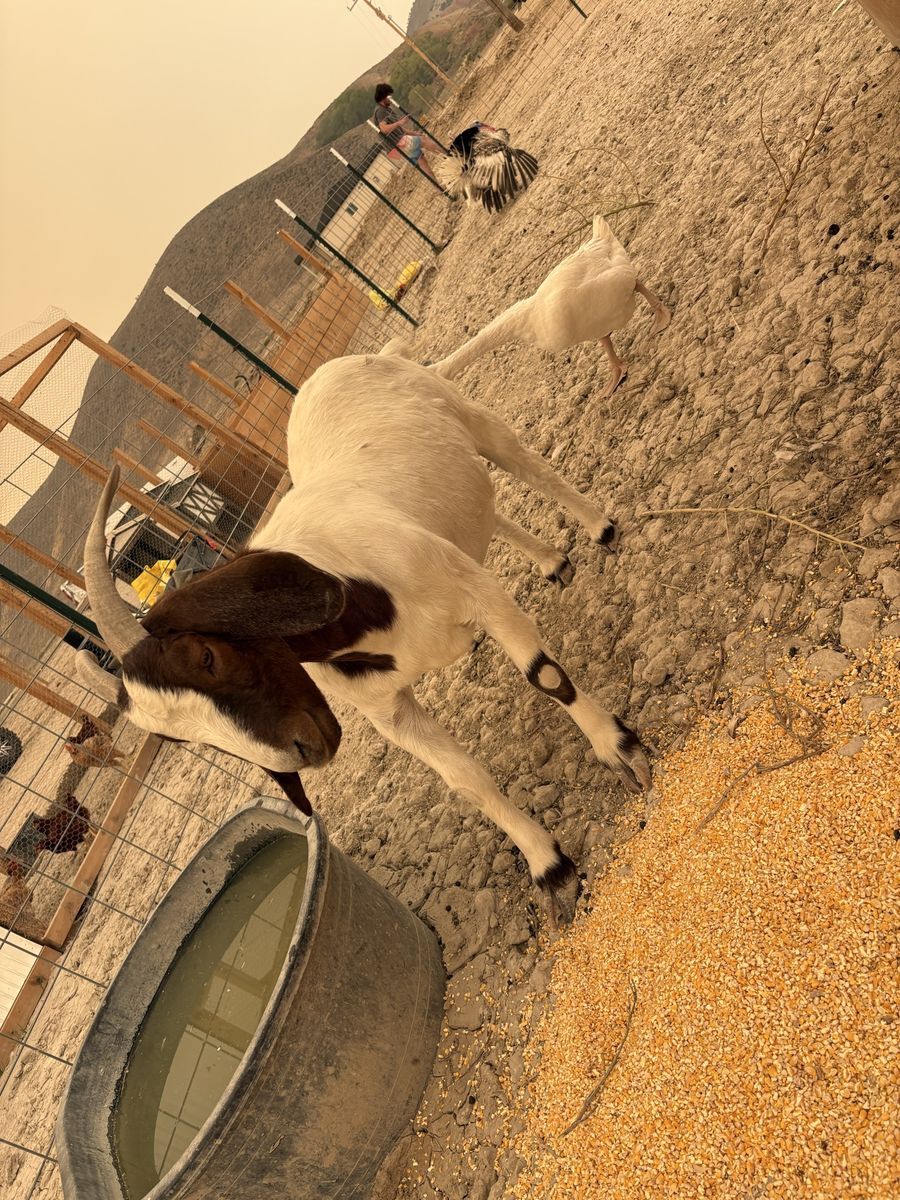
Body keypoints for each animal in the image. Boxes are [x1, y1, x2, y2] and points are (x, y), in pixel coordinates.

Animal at [79, 348, 650, 925]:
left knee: (523, 463)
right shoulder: (387, 710)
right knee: (487, 511)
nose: (300, 752)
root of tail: (351, 363)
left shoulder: (479, 595)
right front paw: (549, 868)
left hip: (472, 418)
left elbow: (545, 676)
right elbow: (464, 779)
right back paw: (550, 559)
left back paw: (598, 526)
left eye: (206, 656)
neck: (351, 593)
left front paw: (620, 749)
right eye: (183, 741)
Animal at [431, 214, 671, 396]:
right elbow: (606, 344)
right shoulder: (594, 327)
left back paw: (661, 319)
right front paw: (615, 378)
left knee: (636, 282)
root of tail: (599, 240)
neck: (532, 317)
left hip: (616, 280)